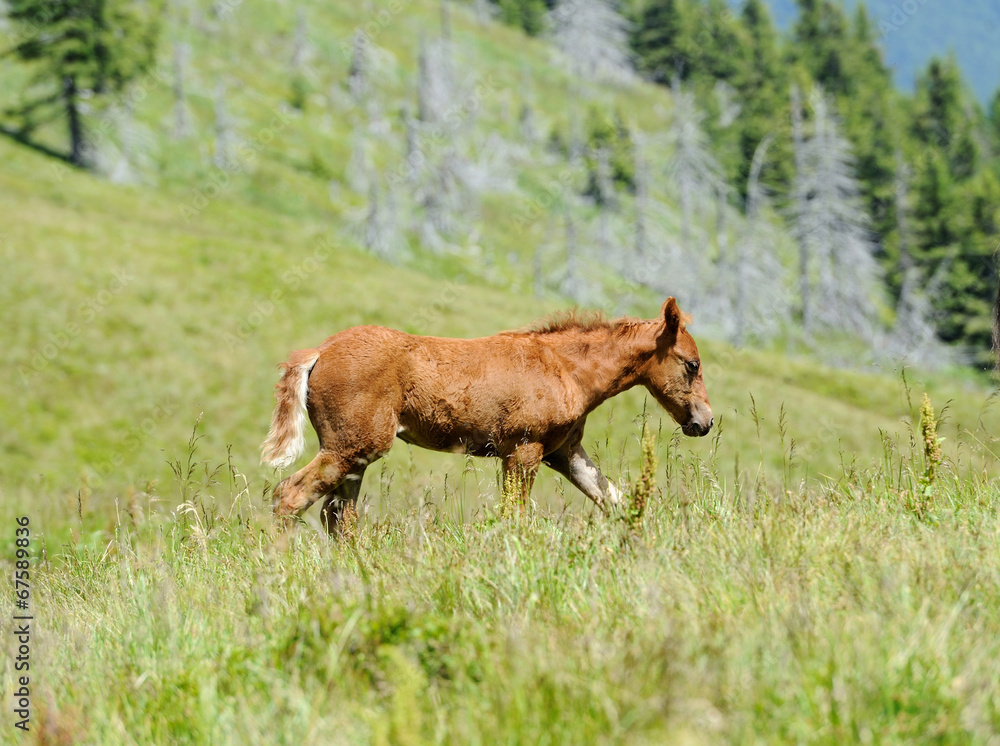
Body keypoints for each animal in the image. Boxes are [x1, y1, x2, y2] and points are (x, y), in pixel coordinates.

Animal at [262, 296, 716, 528]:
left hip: (354, 454)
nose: (705, 422)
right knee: (291, 496)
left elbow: (615, 499)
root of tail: (319, 352)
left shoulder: (564, 452)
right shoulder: (524, 450)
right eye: (692, 364)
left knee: (338, 515)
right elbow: (514, 516)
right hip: (354, 445)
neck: (568, 369)